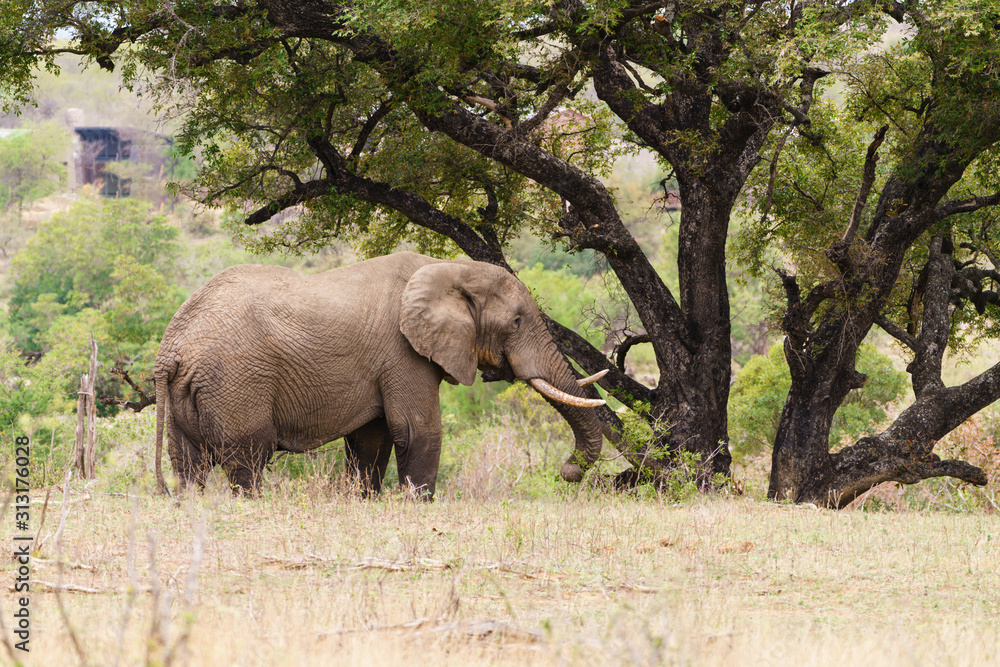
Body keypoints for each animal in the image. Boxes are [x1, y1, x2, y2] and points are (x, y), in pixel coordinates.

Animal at [155, 253, 604, 498]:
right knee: (249, 456)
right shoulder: (403, 352)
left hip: (188, 393)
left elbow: (371, 438)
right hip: (235, 381)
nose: (566, 471)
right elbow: (417, 429)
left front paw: (364, 501)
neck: (451, 268)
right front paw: (418, 506)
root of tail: (171, 350)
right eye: (516, 322)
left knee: (189, 465)